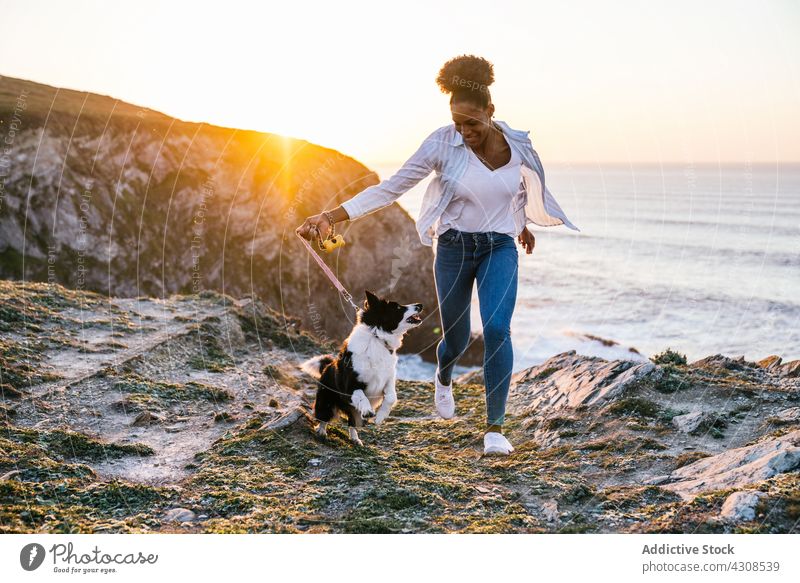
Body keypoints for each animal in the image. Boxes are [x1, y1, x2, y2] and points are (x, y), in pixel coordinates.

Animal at [300, 290, 424, 448]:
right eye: (397, 307)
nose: (420, 305)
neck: (377, 337)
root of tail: (327, 366)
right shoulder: (351, 385)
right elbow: (361, 396)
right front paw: (368, 410)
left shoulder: (388, 379)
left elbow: (391, 397)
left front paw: (380, 417)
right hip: (326, 400)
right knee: (324, 417)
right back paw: (322, 432)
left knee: (352, 423)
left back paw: (355, 439)